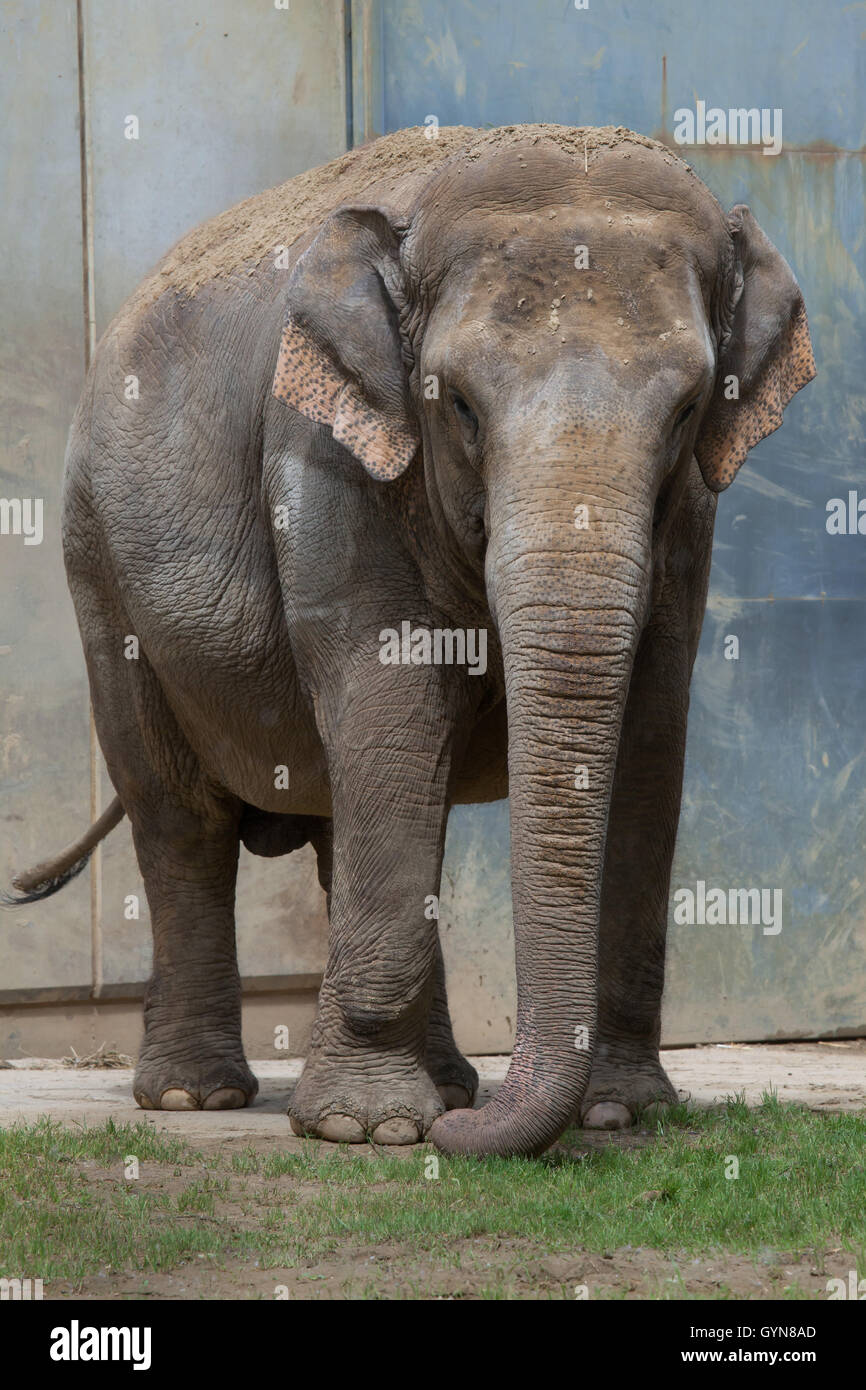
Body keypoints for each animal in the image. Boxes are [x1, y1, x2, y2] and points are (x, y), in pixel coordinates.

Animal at [4, 124, 815, 1157]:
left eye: (685, 412)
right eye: (456, 404)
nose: (466, 1135)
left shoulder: (689, 524)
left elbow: (648, 737)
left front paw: (620, 1110)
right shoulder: (327, 459)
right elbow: (389, 704)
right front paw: (369, 1130)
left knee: (347, 818)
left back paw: (444, 1083)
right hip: (97, 564)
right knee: (181, 818)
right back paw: (198, 1098)